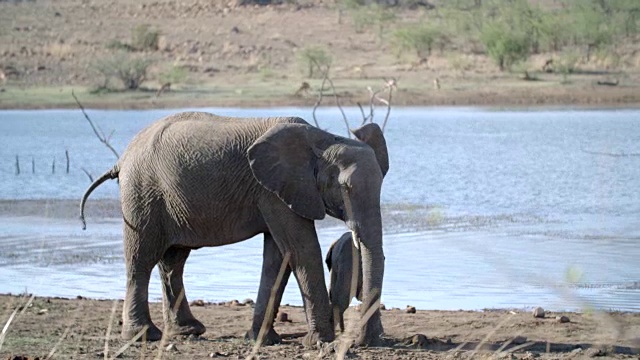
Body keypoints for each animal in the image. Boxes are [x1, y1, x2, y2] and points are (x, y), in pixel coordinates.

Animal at [80, 112, 390, 346]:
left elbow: (279, 257)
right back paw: (144, 336)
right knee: (142, 258)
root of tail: (122, 158)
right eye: (345, 189)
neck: (323, 140)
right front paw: (320, 342)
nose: (366, 341)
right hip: (142, 192)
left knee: (173, 262)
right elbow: (301, 250)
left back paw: (187, 331)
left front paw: (261, 340)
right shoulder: (274, 191)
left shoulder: (274, 189)